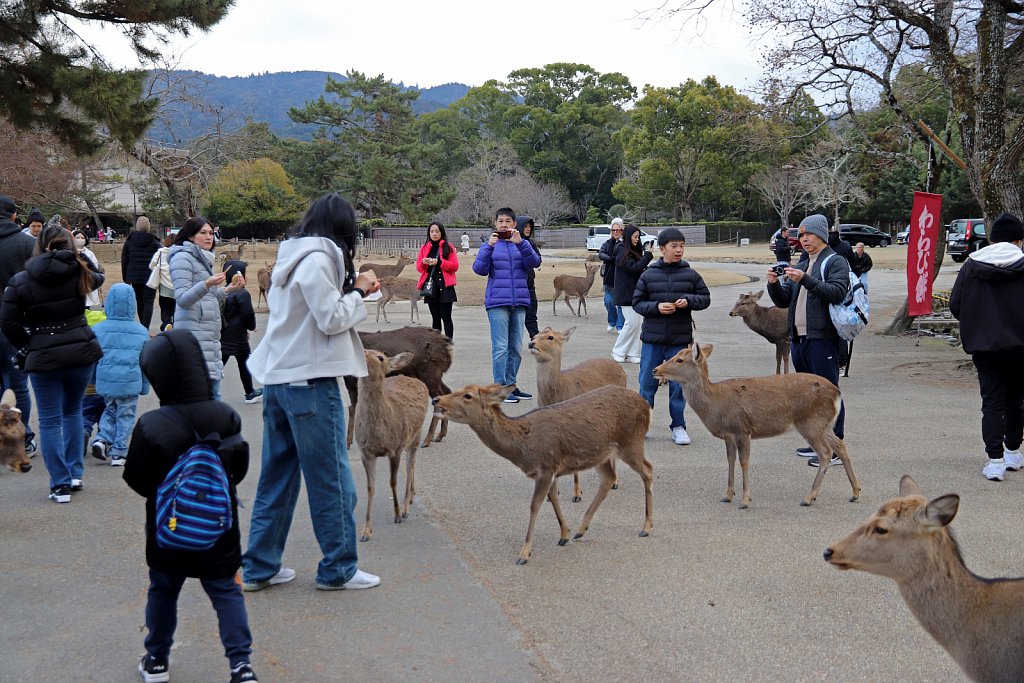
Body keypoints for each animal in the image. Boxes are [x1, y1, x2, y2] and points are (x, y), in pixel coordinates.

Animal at [354, 350, 430, 540]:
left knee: (410, 466)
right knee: (413, 465)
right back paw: (412, 495)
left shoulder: (395, 448)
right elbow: (370, 487)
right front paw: (366, 531)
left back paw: (405, 507)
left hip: (415, 434)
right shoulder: (365, 452)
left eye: (381, 357)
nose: (362, 351)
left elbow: (392, 482)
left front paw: (397, 515)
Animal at [430, 385, 651, 565]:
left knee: (647, 470)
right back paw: (581, 530)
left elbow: (534, 505)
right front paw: (564, 534)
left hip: (631, 442)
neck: (523, 447)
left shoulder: (545, 467)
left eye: (467, 395)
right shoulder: (550, 470)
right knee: (609, 478)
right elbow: (552, 497)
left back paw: (646, 527)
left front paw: (524, 554)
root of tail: (645, 404)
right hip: (600, 453)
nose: (436, 400)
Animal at [528, 327, 622, 505]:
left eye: (550, 337)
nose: (531, 344)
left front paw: (577, 494)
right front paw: (552, 494)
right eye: (534, 335)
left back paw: (615, 482)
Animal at [651, 342, 860, 507]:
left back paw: (809, 497)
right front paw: (728, 495)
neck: (716, 403)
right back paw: (855, 492)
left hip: (811, 423)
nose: (655, 370)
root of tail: (837, 393)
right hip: (824, 424)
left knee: (825, 453)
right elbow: (730, 460)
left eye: (679, 360)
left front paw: (745, 500)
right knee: (840, 445)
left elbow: (744, 462)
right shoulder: (728, 435)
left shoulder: (742, 429)